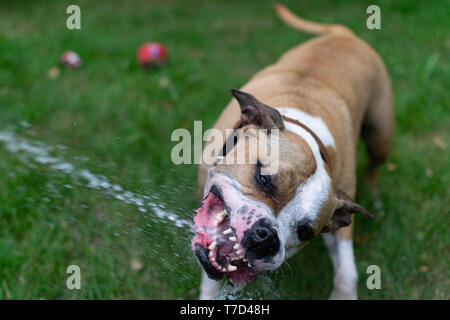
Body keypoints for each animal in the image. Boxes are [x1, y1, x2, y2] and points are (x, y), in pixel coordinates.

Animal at [192, 3, 394, 300]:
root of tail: (344, 34)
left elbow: (347, 273)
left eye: (305, 231)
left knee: (374, 166)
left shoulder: (341, 221)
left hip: (380, 136)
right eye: (263, 178)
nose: (265, 236)